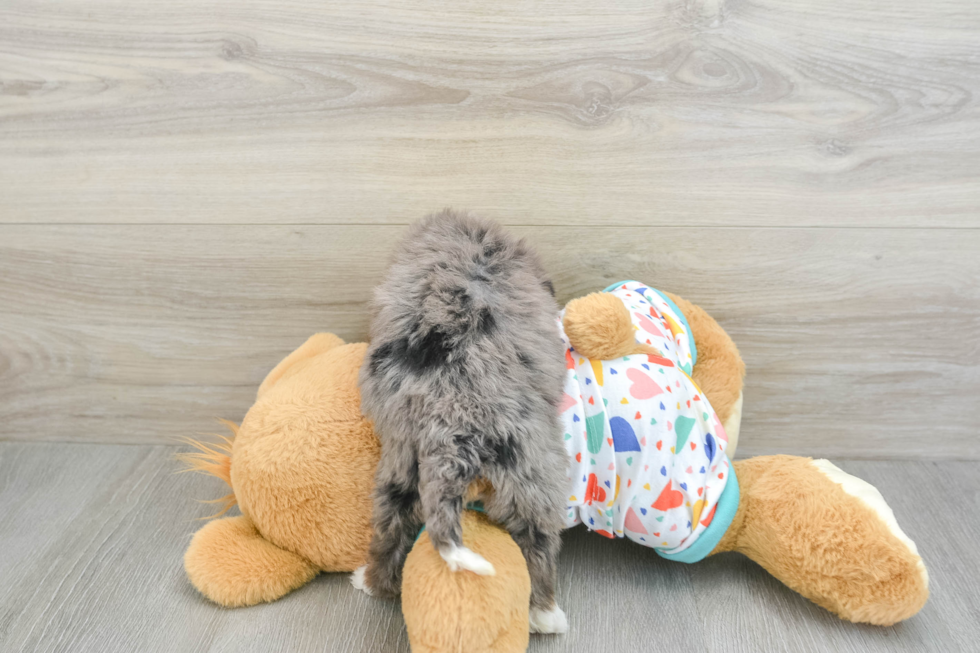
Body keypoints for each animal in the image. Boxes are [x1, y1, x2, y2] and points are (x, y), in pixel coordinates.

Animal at [350, 209, 568, 632]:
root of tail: (454, 422)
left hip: (403, 468)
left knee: (390, 532)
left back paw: (368, 583)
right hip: (530, 473)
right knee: (538, 543)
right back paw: (546, 616)